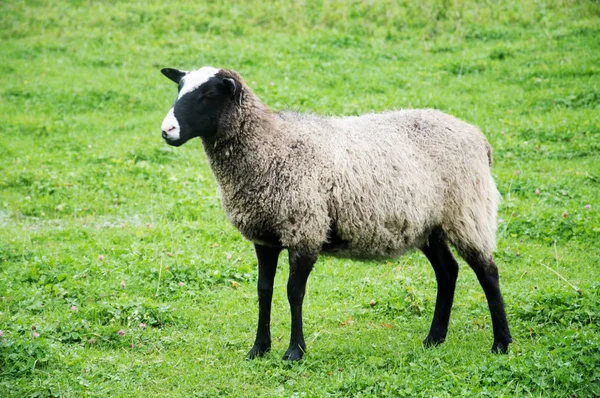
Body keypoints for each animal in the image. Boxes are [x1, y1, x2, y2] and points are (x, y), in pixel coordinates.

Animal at [158, 67, 510, 360]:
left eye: (208, 94)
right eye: (179, 89)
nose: (166, 130)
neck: (272, 146)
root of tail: (479, 138)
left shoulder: (305, 229)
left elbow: (294, 292)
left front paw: (294, 352)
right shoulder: (265, 236)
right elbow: (263, 290)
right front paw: (259, 349)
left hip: (467, 211)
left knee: (488, 273)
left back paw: (501, 344)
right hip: (429, 224)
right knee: (448, 271)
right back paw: (434, 339)